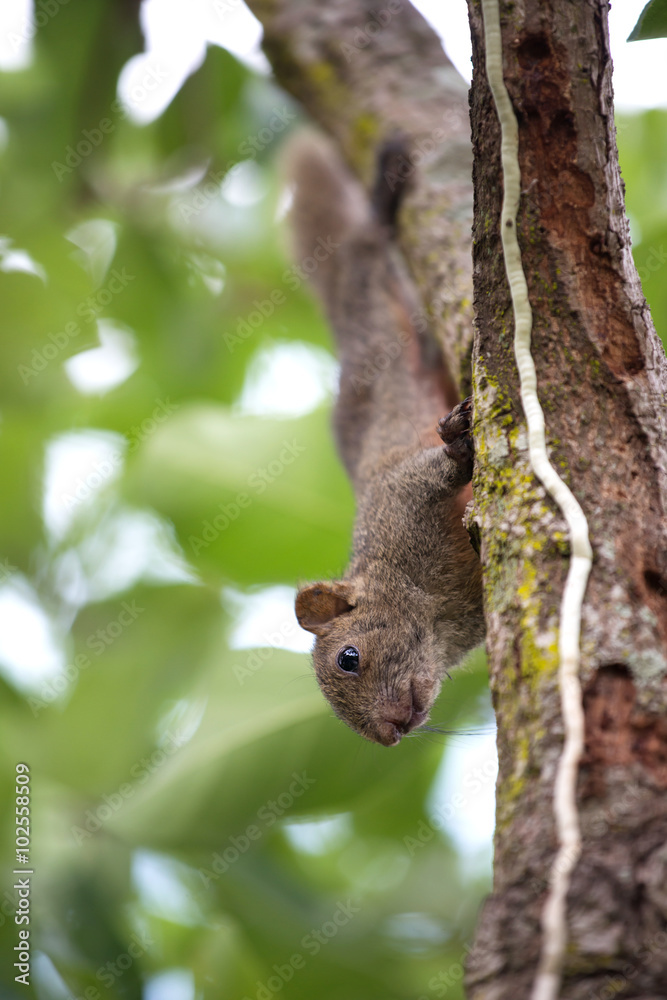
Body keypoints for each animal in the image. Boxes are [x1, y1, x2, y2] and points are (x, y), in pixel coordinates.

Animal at [288, 131, 486, 744]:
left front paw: (458, 443)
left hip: (368, 287)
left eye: (348, 657)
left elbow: (436, 471)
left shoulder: (402, 496)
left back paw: (384, 191)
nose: (388, 732)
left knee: (365, 244)